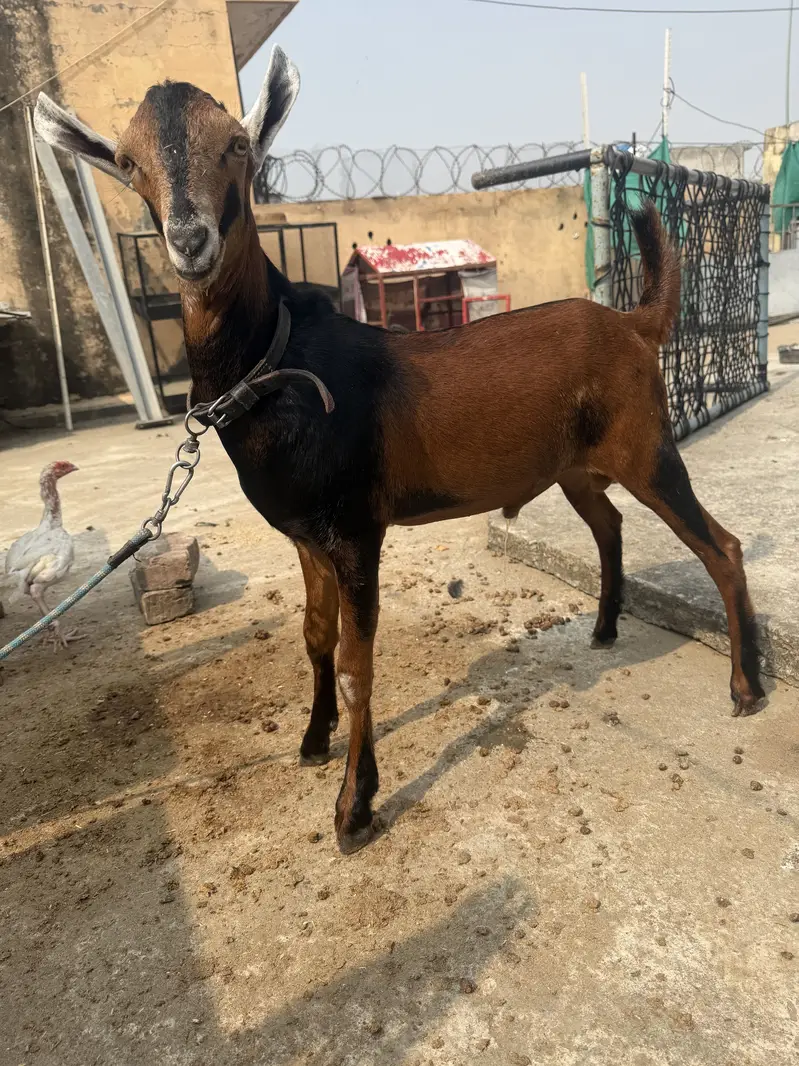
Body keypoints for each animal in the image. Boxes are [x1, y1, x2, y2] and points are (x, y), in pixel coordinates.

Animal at [35, 47, 764, 854]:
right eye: (127, 163)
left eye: (237, 145)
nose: (191, 242)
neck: (279, 362)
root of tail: (634, 323)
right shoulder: (306, 534)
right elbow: (314, 637)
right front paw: (312, 742)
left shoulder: (356, 529)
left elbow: (357, 663)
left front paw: (353, 806)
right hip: (575, 465)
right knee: (608, 524)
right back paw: (605, 629)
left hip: (646, 446)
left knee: (720, 546)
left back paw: (745, 687)